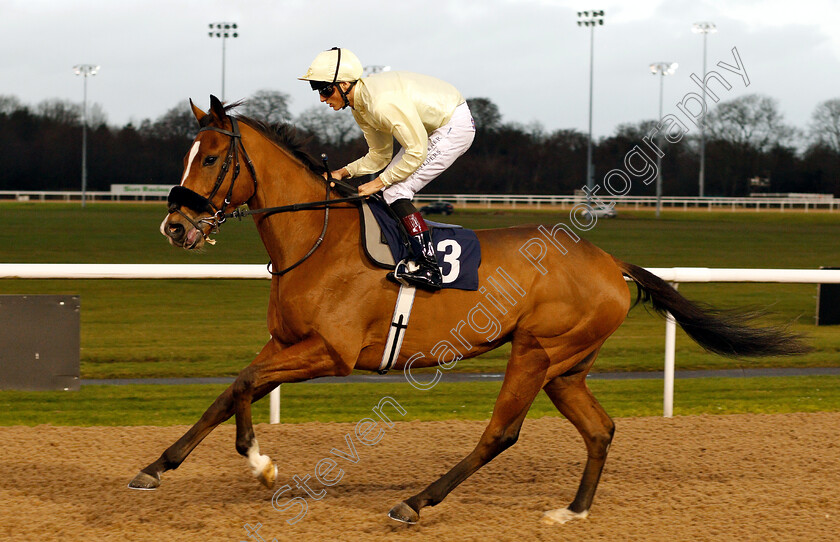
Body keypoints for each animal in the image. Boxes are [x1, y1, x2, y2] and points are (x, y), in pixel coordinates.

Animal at [130, 96, 808, 528]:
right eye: (188, 155)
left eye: (210, 158)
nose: (175, 226)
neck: (317, 240)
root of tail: (610, 262)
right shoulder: (286, 343)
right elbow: (230, 390)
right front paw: (156, 467)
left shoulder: (332, 353)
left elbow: (246, 385)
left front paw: (262, 464)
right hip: (566, 367)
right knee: (599, 429)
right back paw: (573, 510)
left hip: (536, 350)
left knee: (501, 433)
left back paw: (414, 502)